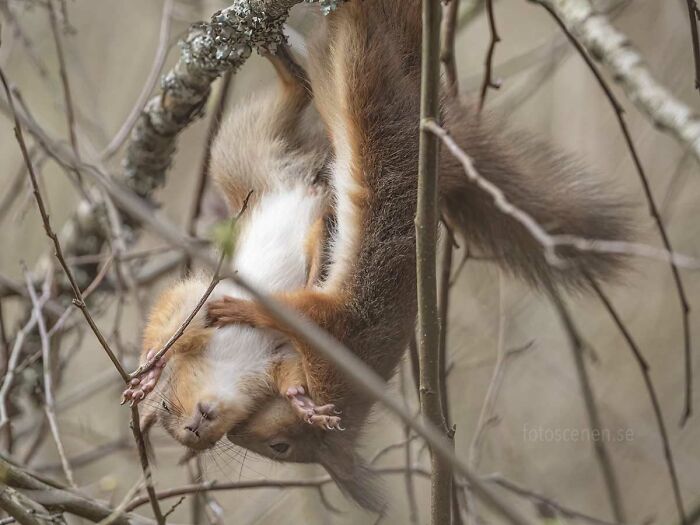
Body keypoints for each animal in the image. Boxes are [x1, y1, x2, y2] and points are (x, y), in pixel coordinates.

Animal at [127, 0, 631, 511]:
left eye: (279, 447)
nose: (196, 431)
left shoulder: (335, 324)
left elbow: (282, 314)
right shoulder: (277, 333)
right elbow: (177, 314)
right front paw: (154, 369)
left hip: (347, 87)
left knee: (340, 63)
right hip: (249, 156)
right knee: (302, 94)